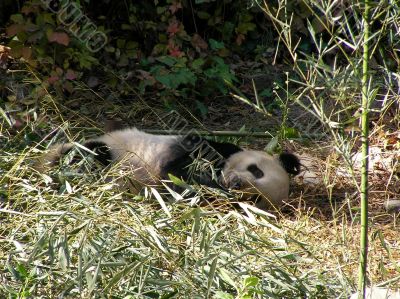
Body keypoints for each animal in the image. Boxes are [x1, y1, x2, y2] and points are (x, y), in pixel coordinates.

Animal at [39, 127, 300, 210]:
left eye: (255, 199)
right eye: (257, 171)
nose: (236, 184)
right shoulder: (207, 149)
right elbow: (177, 170)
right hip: (106, 151)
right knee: (90, 156)